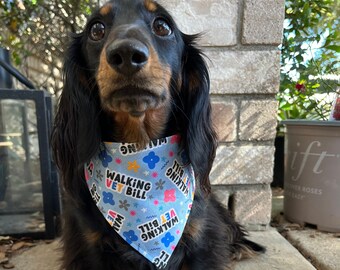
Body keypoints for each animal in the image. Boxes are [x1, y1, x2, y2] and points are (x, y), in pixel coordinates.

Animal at [51, 0, 266, 270]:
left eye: (163, 26)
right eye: (96, 29)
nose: (126, 55)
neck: (140, 148)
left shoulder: (201, 240)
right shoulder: (88, 247)